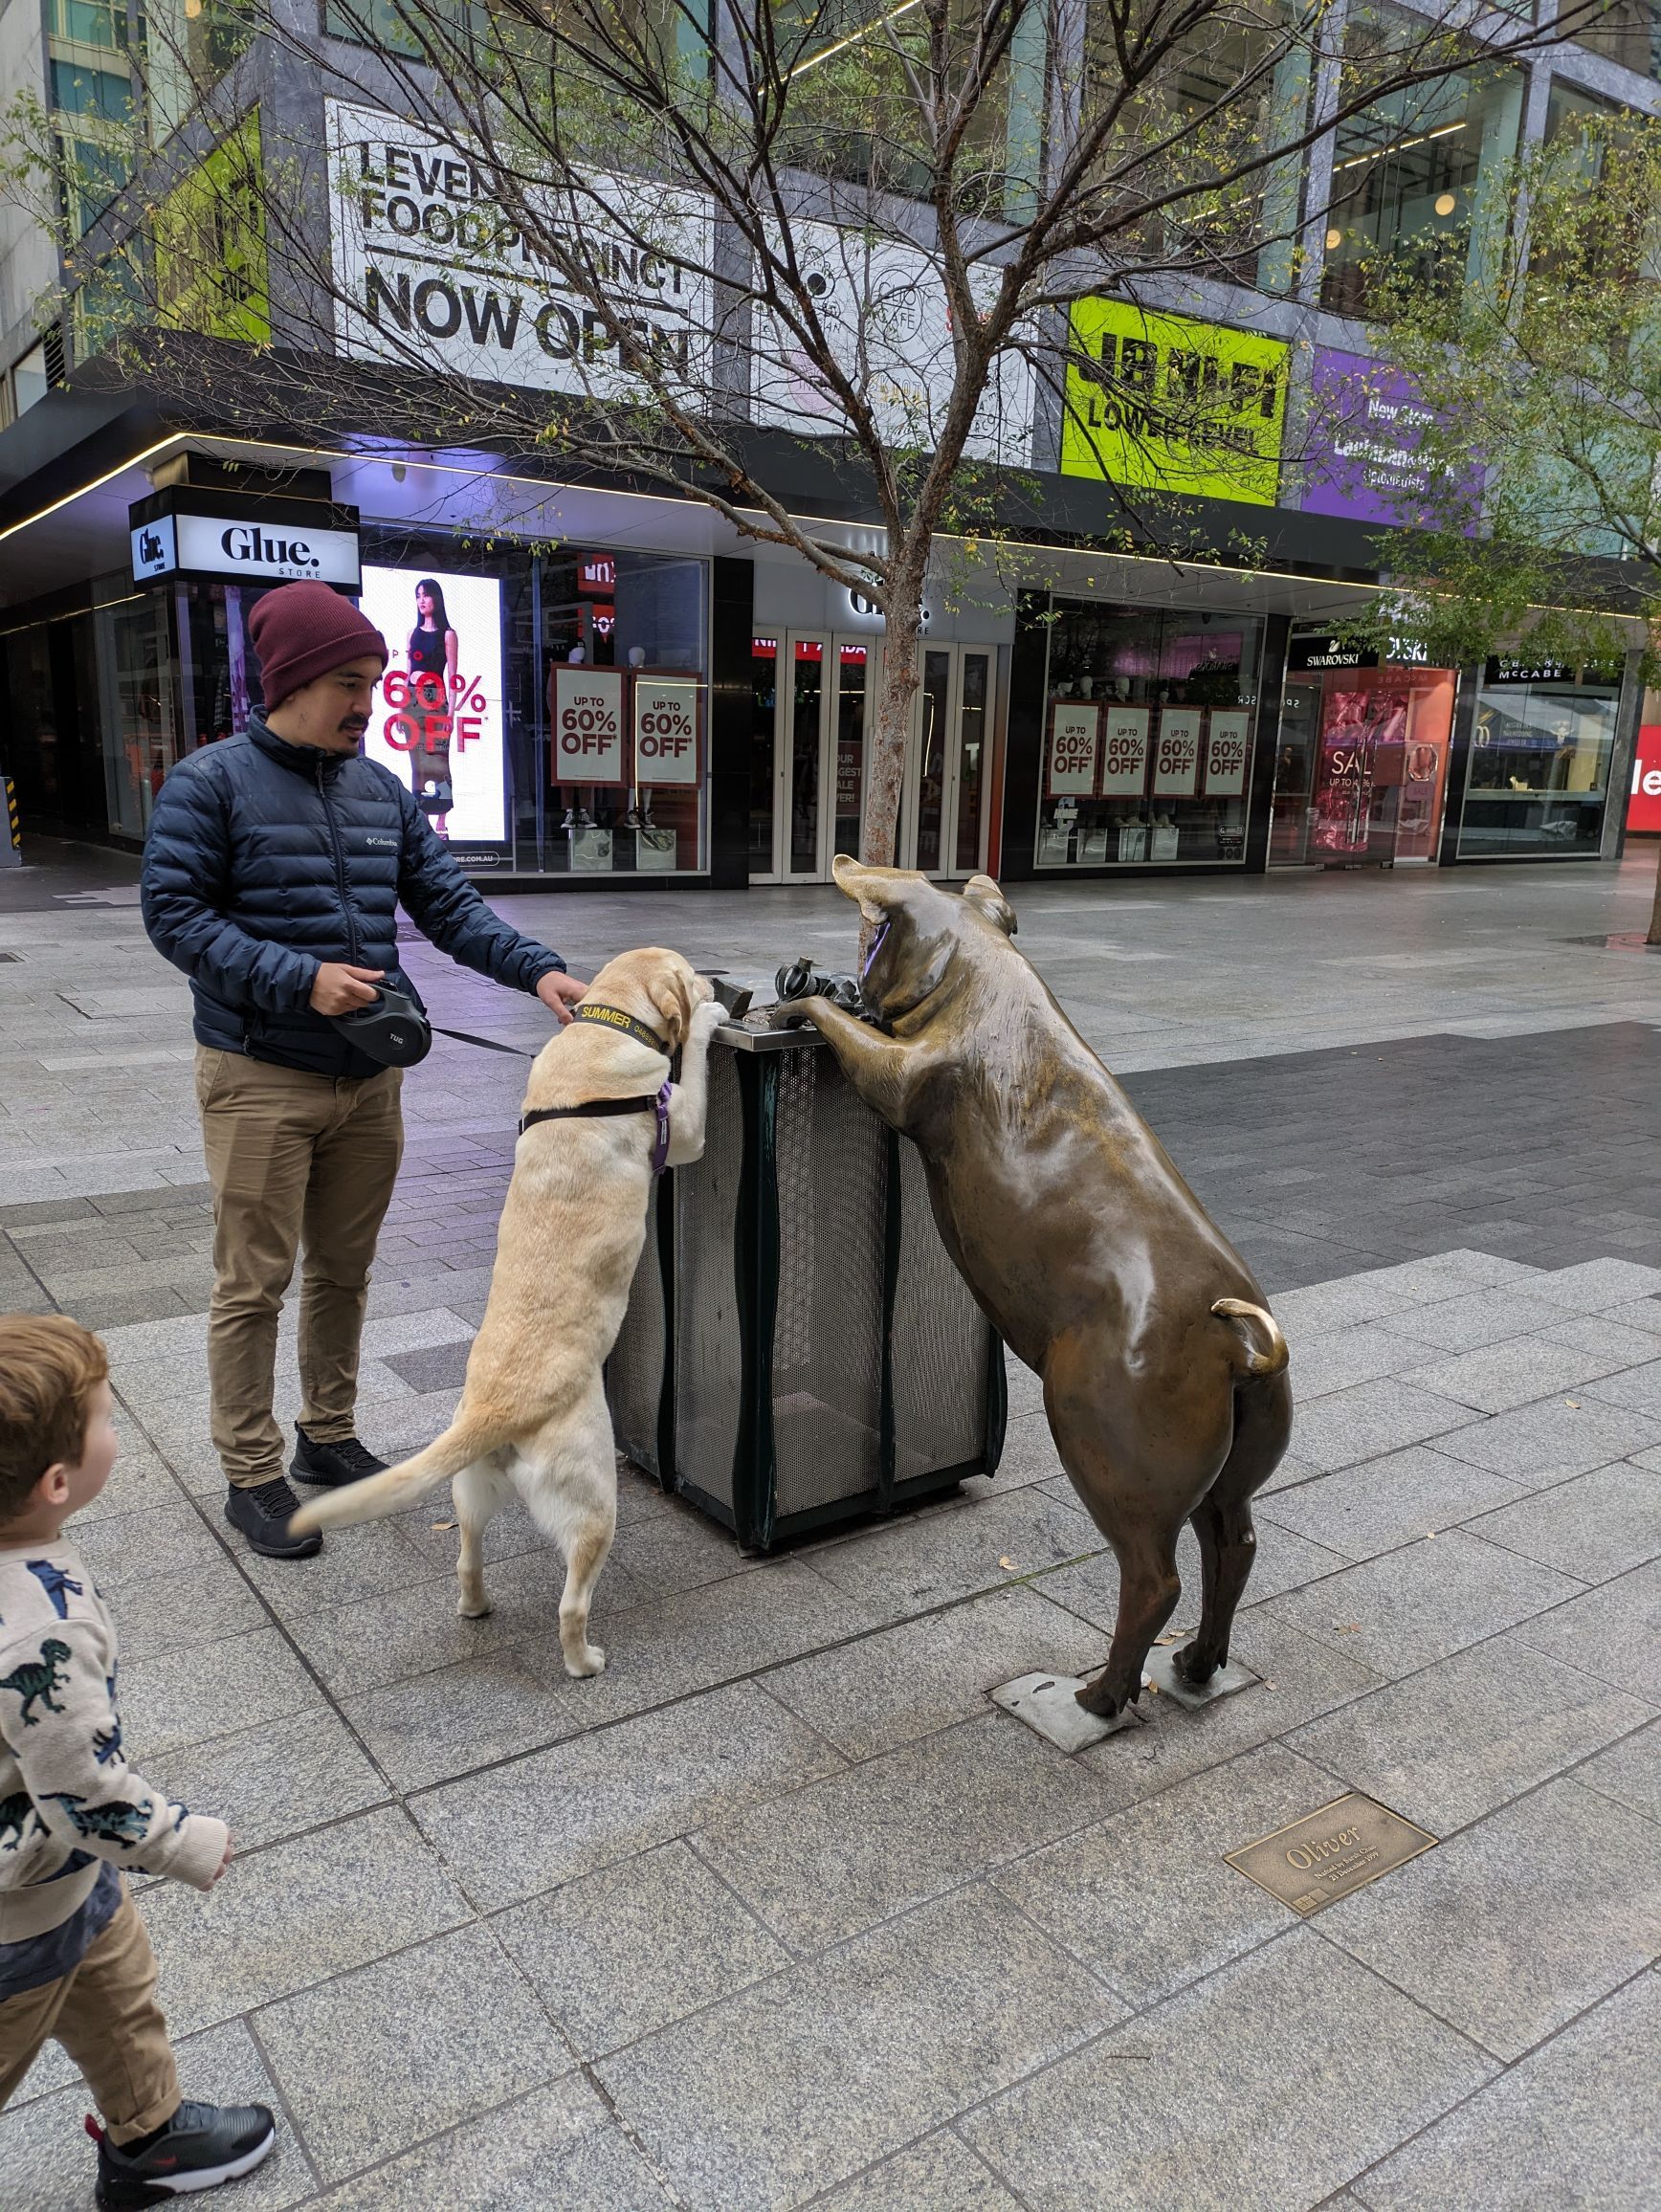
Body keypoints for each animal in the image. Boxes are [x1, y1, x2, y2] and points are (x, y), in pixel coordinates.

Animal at [292, 946, 720, 1671]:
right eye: (689, 971)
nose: (716, 981)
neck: (604, 1026)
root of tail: (495, 1411)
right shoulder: (681, 1125)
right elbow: (692, 1068)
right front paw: (711, 1019)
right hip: (592, 1500)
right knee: (570, 1603)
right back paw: (585, 1661)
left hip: (470, 1492)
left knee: (466, 1559)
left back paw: (476, 1607)